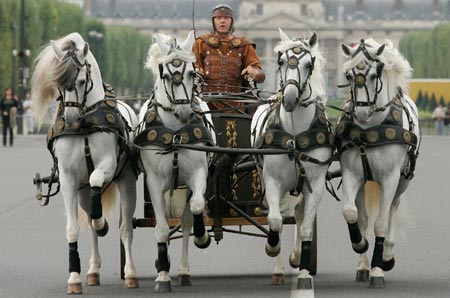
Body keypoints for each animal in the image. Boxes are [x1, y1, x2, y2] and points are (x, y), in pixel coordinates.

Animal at [31, 32, 139, 294]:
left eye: (80, 81)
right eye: (59, 83)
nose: (70, 120)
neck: (86, 125)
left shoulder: (108, 165)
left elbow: (96, 179)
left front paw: (102, 223)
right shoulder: (69, 179)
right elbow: (74, 227)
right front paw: (74, 278)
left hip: (127, 181)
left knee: (126, 228)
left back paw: (130, 273)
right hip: (82, 192)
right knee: (90, 219)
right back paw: (92, 271)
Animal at [134, 30, 215, 294]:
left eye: (191, 72)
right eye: (166, 74)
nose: (184, 113)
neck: (175, 132)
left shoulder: (198, 174)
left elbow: (197, 208)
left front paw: (202, 236)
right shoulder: (155, 184)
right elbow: (161, 229)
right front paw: (162, 274)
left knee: (186, 222)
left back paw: (184, 271)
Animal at [251, 29, 332, 288]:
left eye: (309, 64)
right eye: (281, 61)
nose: (289, 98)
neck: (295, 135)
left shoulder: (315, 184)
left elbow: (305, 227)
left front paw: (302, 267)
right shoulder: (272, 182)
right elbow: (275, 220)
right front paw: (272, 247)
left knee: (298, 215)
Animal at [338, 38, 422, 288]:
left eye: (375, 74)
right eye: (348, 75)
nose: (361, 112)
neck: (370, 129)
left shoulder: (390, 178)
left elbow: (382, 224)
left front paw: (378, 269)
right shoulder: (351, 174)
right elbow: (352, 214)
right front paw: (360, 245)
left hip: (402, 182)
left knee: (392, 209)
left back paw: (387, 256)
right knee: (364, 217)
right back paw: (363, 265)